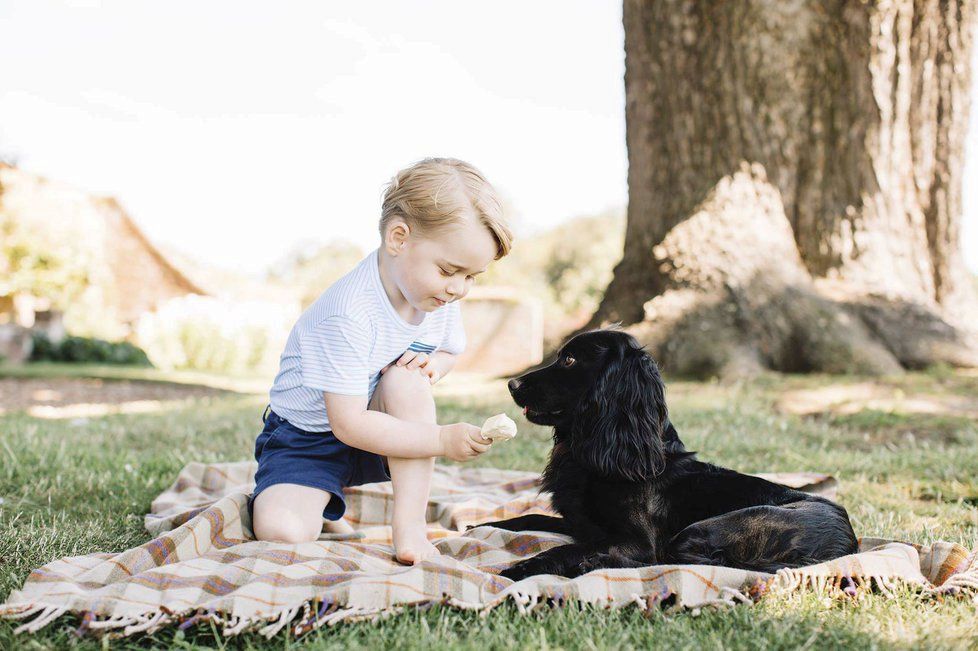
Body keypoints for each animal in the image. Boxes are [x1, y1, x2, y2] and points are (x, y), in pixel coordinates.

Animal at [484, 332, 856, 580]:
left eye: (570, 360)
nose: (511, 384)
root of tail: (846, 545)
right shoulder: (581, 524)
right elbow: (526, 518)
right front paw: (481, 526)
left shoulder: (635, 541)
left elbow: (569, 548)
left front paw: (520, 568)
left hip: (704, 530)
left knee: (676, 561)